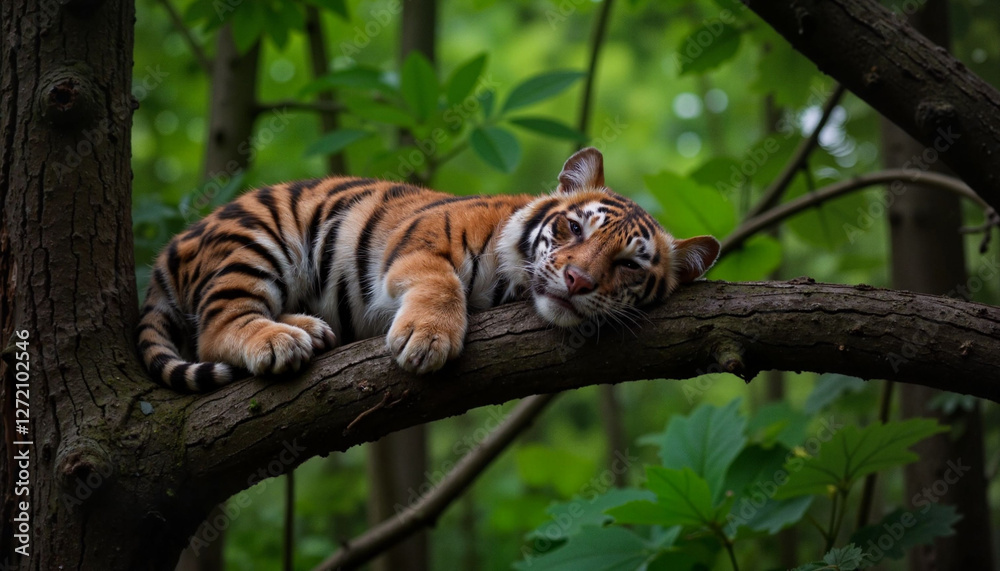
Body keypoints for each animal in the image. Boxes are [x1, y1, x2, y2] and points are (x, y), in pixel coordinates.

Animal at [137, 147, 721, 392]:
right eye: (574, 229)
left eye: (627, 264)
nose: (577, 281)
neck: (508, 286)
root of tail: (173, 247)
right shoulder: (419, 243)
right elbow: (440, 284)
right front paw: (427, 339)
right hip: (255, 241)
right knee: (216, 327)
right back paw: (279, 340)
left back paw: (306, 329)